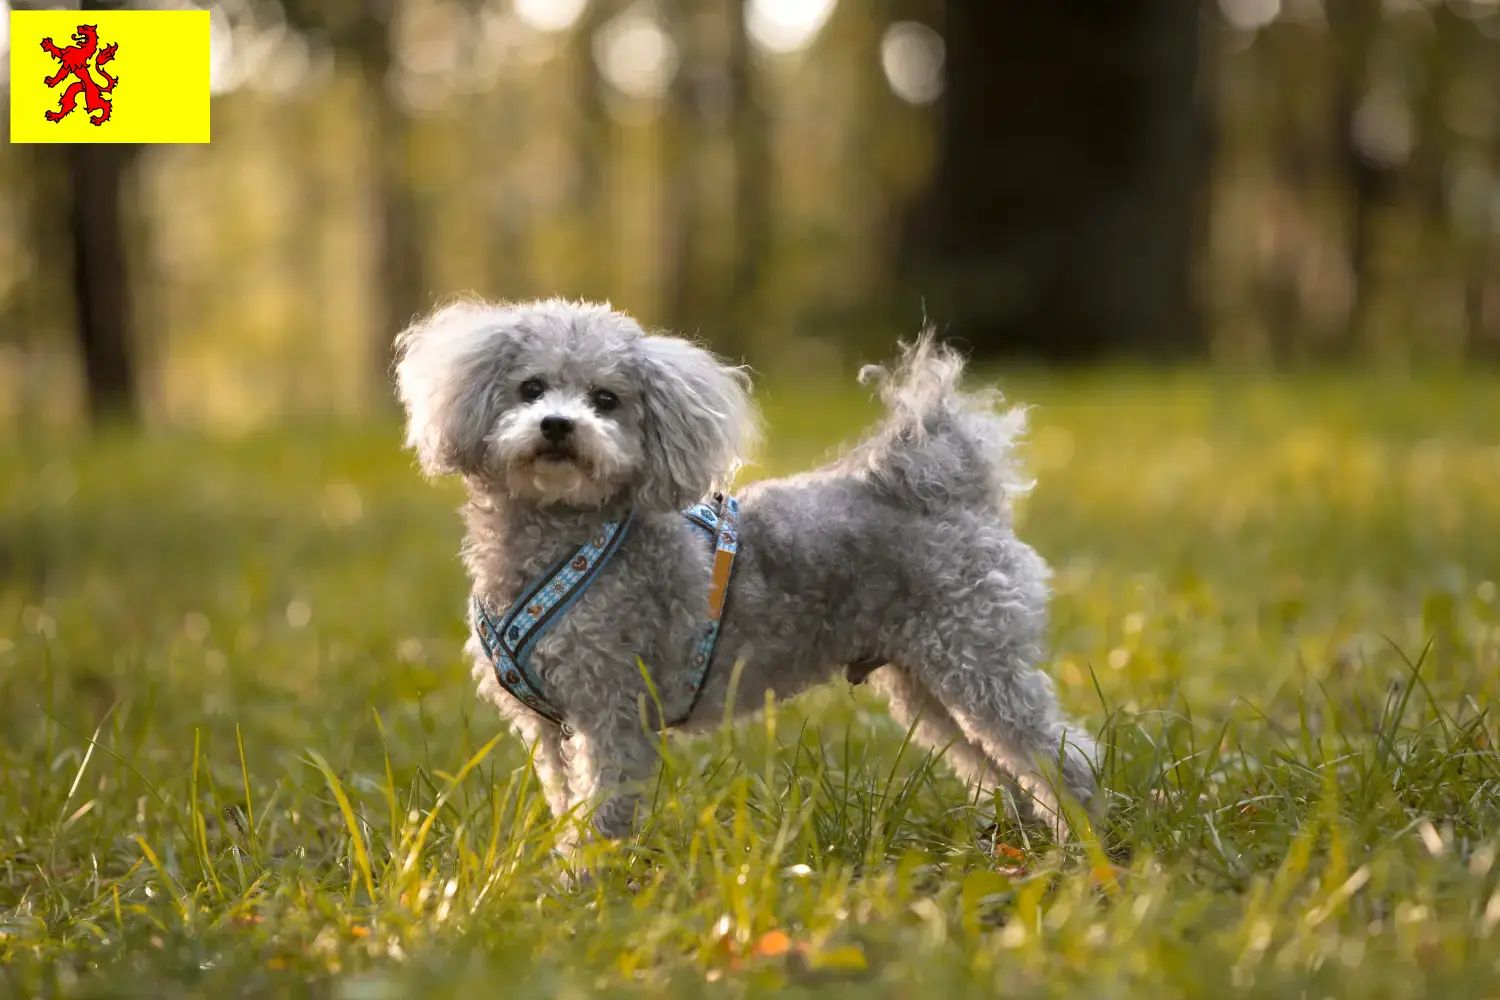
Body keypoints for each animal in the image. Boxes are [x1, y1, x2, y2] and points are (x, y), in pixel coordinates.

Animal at [396, 296, 1104, 851]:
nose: (558, 426)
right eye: (530, 388)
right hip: (926, 683)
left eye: (607, 399)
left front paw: (580, 888)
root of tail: (947, 485)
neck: (563, 539)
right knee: (1002, 766)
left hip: (977, 655)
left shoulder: (612, 710)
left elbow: (599, 817)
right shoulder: (549, 731)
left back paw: (1084, 842)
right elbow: (567, 802)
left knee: (1063, 755)